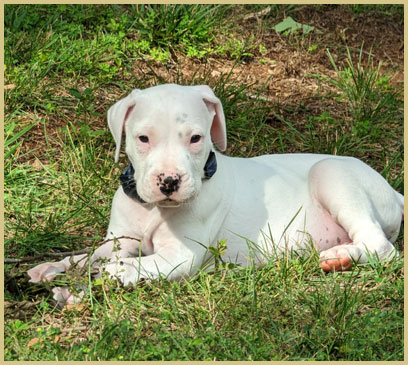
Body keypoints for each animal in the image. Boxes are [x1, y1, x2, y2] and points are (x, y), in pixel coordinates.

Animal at [27, 84, 404, 302]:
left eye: (196, 138)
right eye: (143, 139)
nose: (169, 182)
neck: (151, 209)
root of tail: (394, 192)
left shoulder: (181, 255)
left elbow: (133, 264)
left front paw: (117, 272)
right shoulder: (119, 239)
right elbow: (90, 255)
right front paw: (54, 267)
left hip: (331, 174)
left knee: (381, 246)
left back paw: (340, 256)